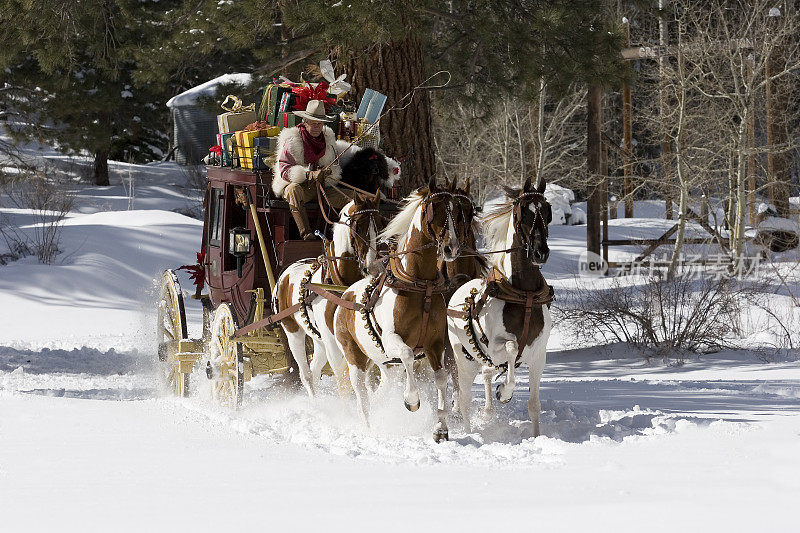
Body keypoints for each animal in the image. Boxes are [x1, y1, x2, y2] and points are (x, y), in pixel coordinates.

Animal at [274, 193, 386, 396]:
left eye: (381, 224)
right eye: (358, 226)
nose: (374, 268)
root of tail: (285, 274)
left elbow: (366, 375)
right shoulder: (332, 339)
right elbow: (342, 378)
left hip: (318, 340)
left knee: (314, 369)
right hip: (293, 331)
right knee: (306, 374)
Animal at [334, 179, 472, 440]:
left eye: (458, 212)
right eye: (434, 210)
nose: (452, 248)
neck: (420, 284)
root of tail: (346, 295)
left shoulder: (435, 343)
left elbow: (441, 378)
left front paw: (441, 427)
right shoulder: (393, 340)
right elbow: (408, 354)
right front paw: (412, 400)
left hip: (386, 365)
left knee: (381, 391)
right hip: (355, 357)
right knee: (362, 397)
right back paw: (368, 428)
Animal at [446, 179, 552, 436]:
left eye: (547, 211)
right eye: (522, 212)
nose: (540, 252)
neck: (524, 295)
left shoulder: (539, 355)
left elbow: (534, 405)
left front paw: (536, 437)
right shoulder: (495, 349)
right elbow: (512, 348)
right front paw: (503, 392)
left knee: (484, 374)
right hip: (462, 359)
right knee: (464, 400)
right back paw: (470, 434)